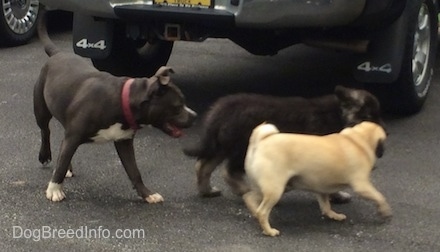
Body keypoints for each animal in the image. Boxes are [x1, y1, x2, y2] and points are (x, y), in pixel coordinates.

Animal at [31, 9, 196, 203]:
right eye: (177, 106)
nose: (195, 116)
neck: (122, 99)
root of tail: (57, 53)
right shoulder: (74, 137)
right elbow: (62, 162)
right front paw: (54, 189)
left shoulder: (124, 142)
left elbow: (134, 171)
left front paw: (147, 194)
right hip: (41, 109)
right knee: (45, 131)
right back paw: (45, 155)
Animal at [184, 86, 384, 203]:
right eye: (369, 116)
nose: (384, 133)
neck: (339, 114)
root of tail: (221, 110)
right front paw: (336, 195)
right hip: (242, 147)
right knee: (229, 172)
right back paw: (245, 191)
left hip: (222, 145)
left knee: (202, 165)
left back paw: (207, 191)